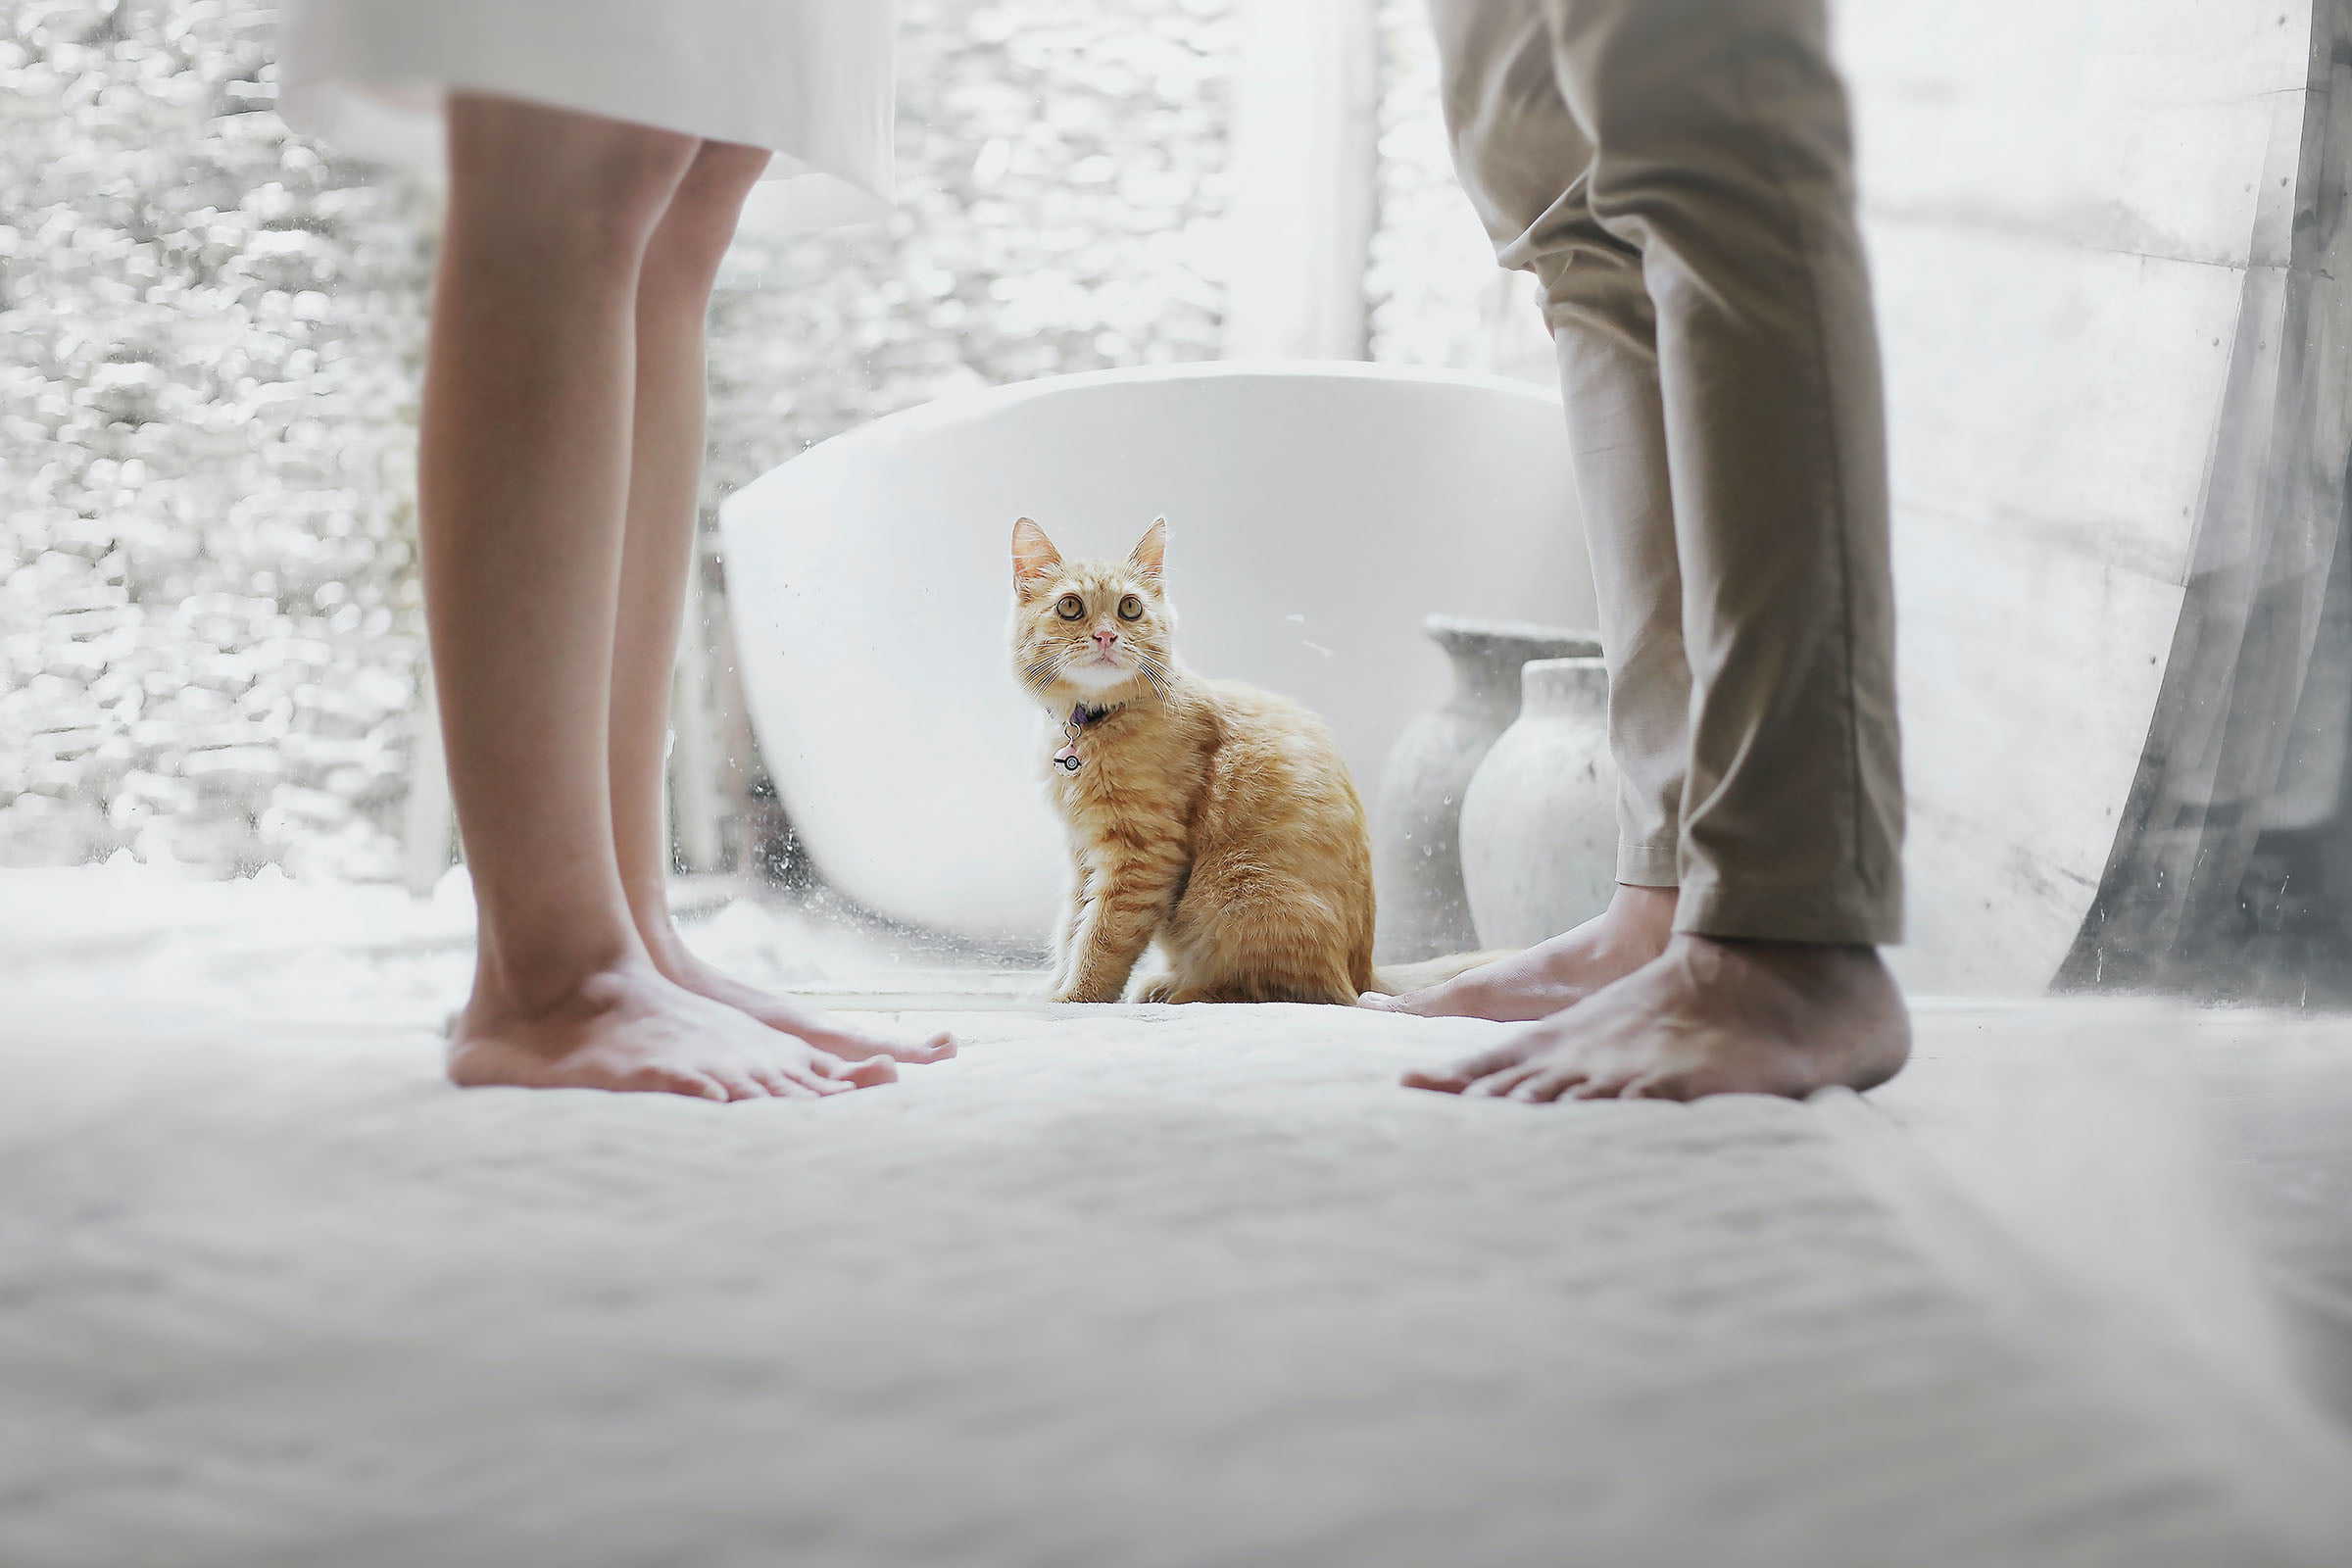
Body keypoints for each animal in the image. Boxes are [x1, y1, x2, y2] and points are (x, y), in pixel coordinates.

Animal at [1006, 514, 1383, 1005]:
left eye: (1130, 608)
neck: (1093, 723)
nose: (1106, 636)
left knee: (1268, 988)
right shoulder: (1084, 853)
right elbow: (1072, 928)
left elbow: (1100, 937)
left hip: (1240, 890)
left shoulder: (1142, 856)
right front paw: (1054, 986)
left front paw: (1075, 998)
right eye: (1070, 607)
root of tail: (1364, 978)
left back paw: (1180, 991)